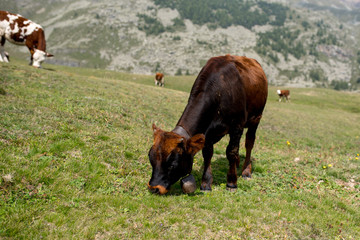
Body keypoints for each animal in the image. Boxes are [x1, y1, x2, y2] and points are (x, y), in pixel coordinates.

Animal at [148, 53, 268, 194]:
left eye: (173, 164)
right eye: (150, 158)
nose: (154, 188)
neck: (219, 92)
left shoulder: (237, 126)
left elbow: (231, 152)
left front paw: (231, 182)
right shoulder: (207, 132)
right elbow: (207, 153)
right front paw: (206, 183)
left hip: (256, 118)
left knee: (249, 143)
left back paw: (246, 171)